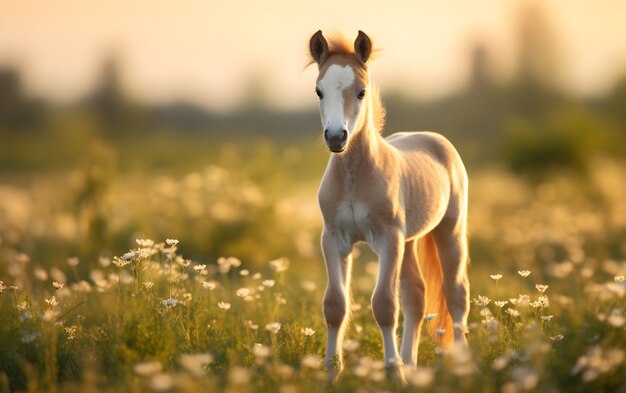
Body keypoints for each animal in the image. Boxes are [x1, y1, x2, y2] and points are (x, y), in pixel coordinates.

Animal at [308, 30, 468, 376]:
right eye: (318, 91)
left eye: (361, 92)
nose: (336, 137)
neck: (354, 178)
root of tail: (434, 138)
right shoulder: (334, 239)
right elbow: (334, 306)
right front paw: (330, 372)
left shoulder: (387, 238)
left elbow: (384, 304)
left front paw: (393, 371)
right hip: (408, 242)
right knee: (416, 296)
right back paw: (411, 362)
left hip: (449, 231)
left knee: (456, 294)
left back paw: (461, 364)